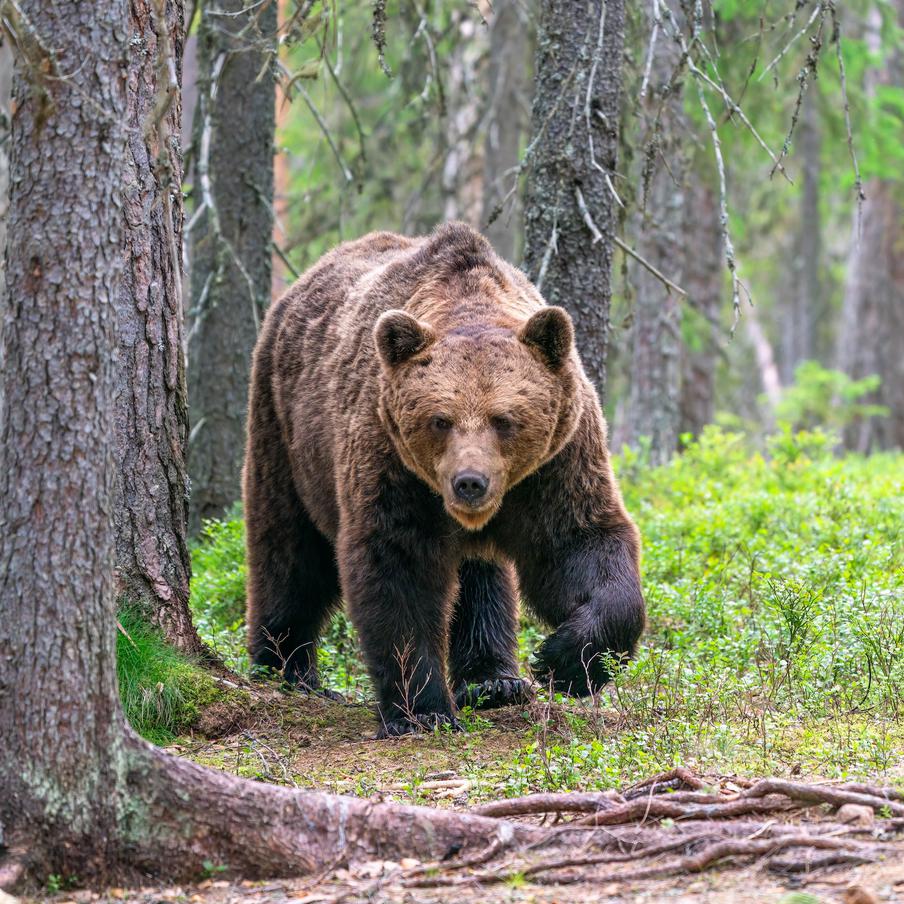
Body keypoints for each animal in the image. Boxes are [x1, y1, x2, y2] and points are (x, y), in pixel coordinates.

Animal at [243, 222, 645, 737]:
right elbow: (399, 568)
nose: (469, 482)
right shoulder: (392, 463)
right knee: (290, 551)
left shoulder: (555, 464)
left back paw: (495, 681)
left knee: (481, 578)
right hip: (286, 432)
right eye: (440, 420)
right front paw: (423, 710)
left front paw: (562, 662)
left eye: (504, 419)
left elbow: (580, 545)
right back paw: (285, 668)